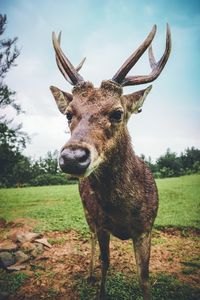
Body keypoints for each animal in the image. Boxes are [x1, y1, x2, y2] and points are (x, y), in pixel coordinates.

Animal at [49, 24, 170, 298]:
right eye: (68, 114)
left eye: (117, 113)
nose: (72, 158)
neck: (123, 211)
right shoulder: (101, 223)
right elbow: (106, 263)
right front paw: (100, 289)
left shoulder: (147, 226)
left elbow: (144, 276)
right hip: (87, 213)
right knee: (91, 238)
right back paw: (90, 274)